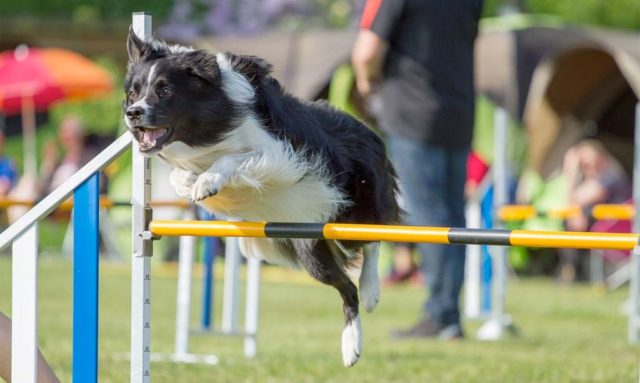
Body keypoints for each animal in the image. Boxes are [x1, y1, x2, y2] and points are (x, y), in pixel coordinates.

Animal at [125, 29, 400, 366]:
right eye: (133, 93)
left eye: (165, 91)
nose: (133, 114)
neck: (210, 127)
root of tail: (368, 129)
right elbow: (179, 175)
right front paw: (192, 182)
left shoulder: (279, 155)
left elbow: (234, 158)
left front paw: (208, 181)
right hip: (310, 246)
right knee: (347, 286)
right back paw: (351, 343)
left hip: (353, 208)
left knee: (371, 243)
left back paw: (366, 307)